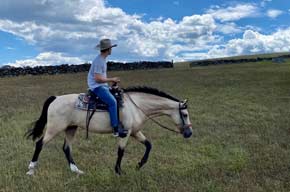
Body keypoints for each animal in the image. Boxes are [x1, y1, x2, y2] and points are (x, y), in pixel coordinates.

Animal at [25, 86, 193, 176]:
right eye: (185, 114)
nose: (189, 133)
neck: (137, 106)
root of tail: (55, 98)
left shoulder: (135, 132)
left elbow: (149, 145)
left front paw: (139, 165)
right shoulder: (125, 133)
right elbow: (121, 152)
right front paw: (119, 171)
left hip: (70, 128)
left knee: (66, 148)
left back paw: (76, 170)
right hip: (54, 128)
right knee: (40, 144)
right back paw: (31, 169)